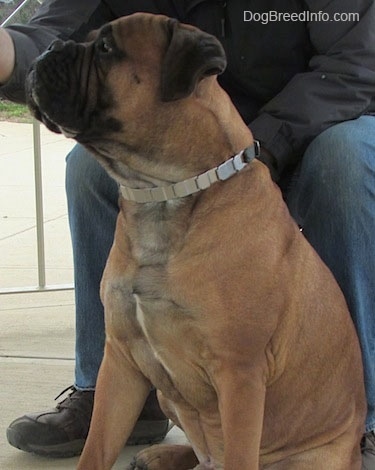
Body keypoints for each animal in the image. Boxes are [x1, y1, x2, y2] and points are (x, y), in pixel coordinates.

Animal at [27, 12, 368, 468]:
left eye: (106, 48)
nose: (50, 47)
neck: (161, 193)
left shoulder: (239, 375)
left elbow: (240, 453)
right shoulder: (121, 361)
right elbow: (96, 448)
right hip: (163, 394)